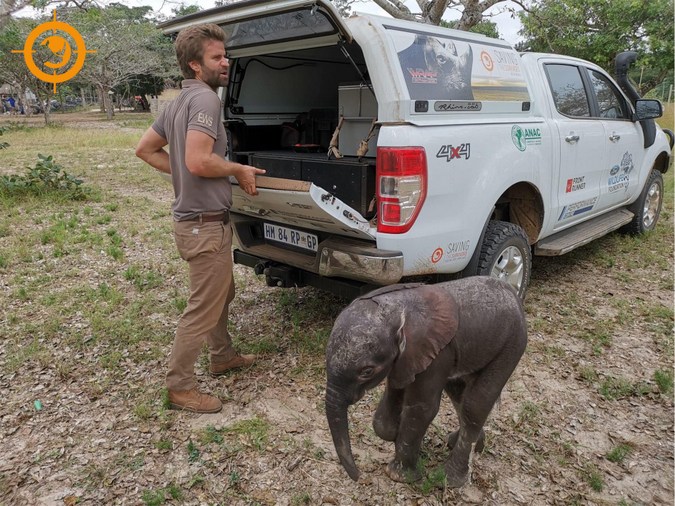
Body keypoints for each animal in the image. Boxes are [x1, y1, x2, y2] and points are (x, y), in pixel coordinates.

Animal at [326, 276, 528, 486]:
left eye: (366, 371)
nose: (360, 478)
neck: (397, 311)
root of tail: (513, 293)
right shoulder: (406, 359)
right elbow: (391, 403)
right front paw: (396, 437)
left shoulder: (438, 353)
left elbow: (421, 408)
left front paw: (400, 476)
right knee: (458, 394)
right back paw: (462, 444)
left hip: (512, 344)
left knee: (475, 406)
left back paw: (451, 480)